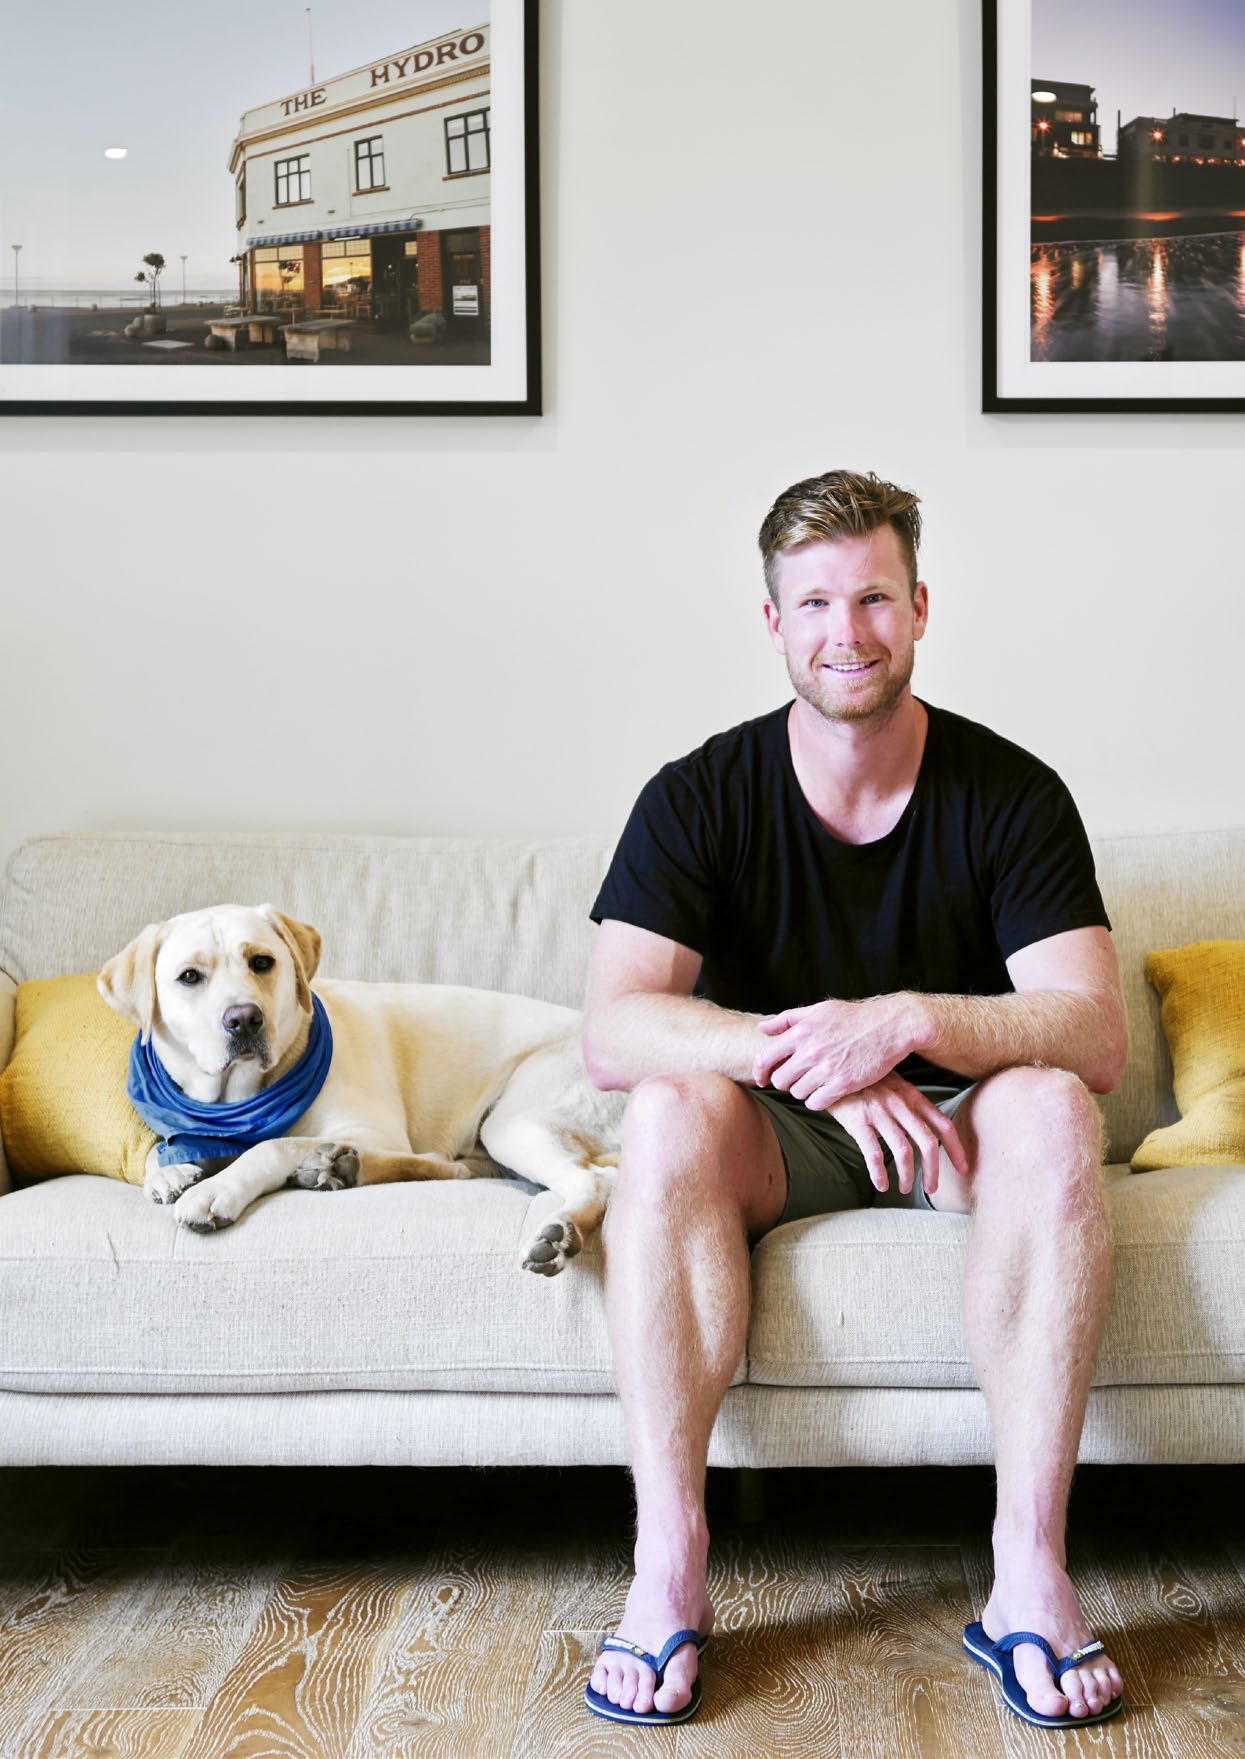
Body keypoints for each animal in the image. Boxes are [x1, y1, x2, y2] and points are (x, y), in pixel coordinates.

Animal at [97, 907, 622, 1280]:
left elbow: (272, 1145)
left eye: (262, 962)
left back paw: (560, 1233)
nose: (244, 1019)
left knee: (596, 1182)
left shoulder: (374, 1126)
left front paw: (217, 1188)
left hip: (511, 1123)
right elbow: (165, 1148)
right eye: (190, 977)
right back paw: (339, 1167)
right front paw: (170, 1172)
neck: (240, 1102)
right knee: (448, 1165)